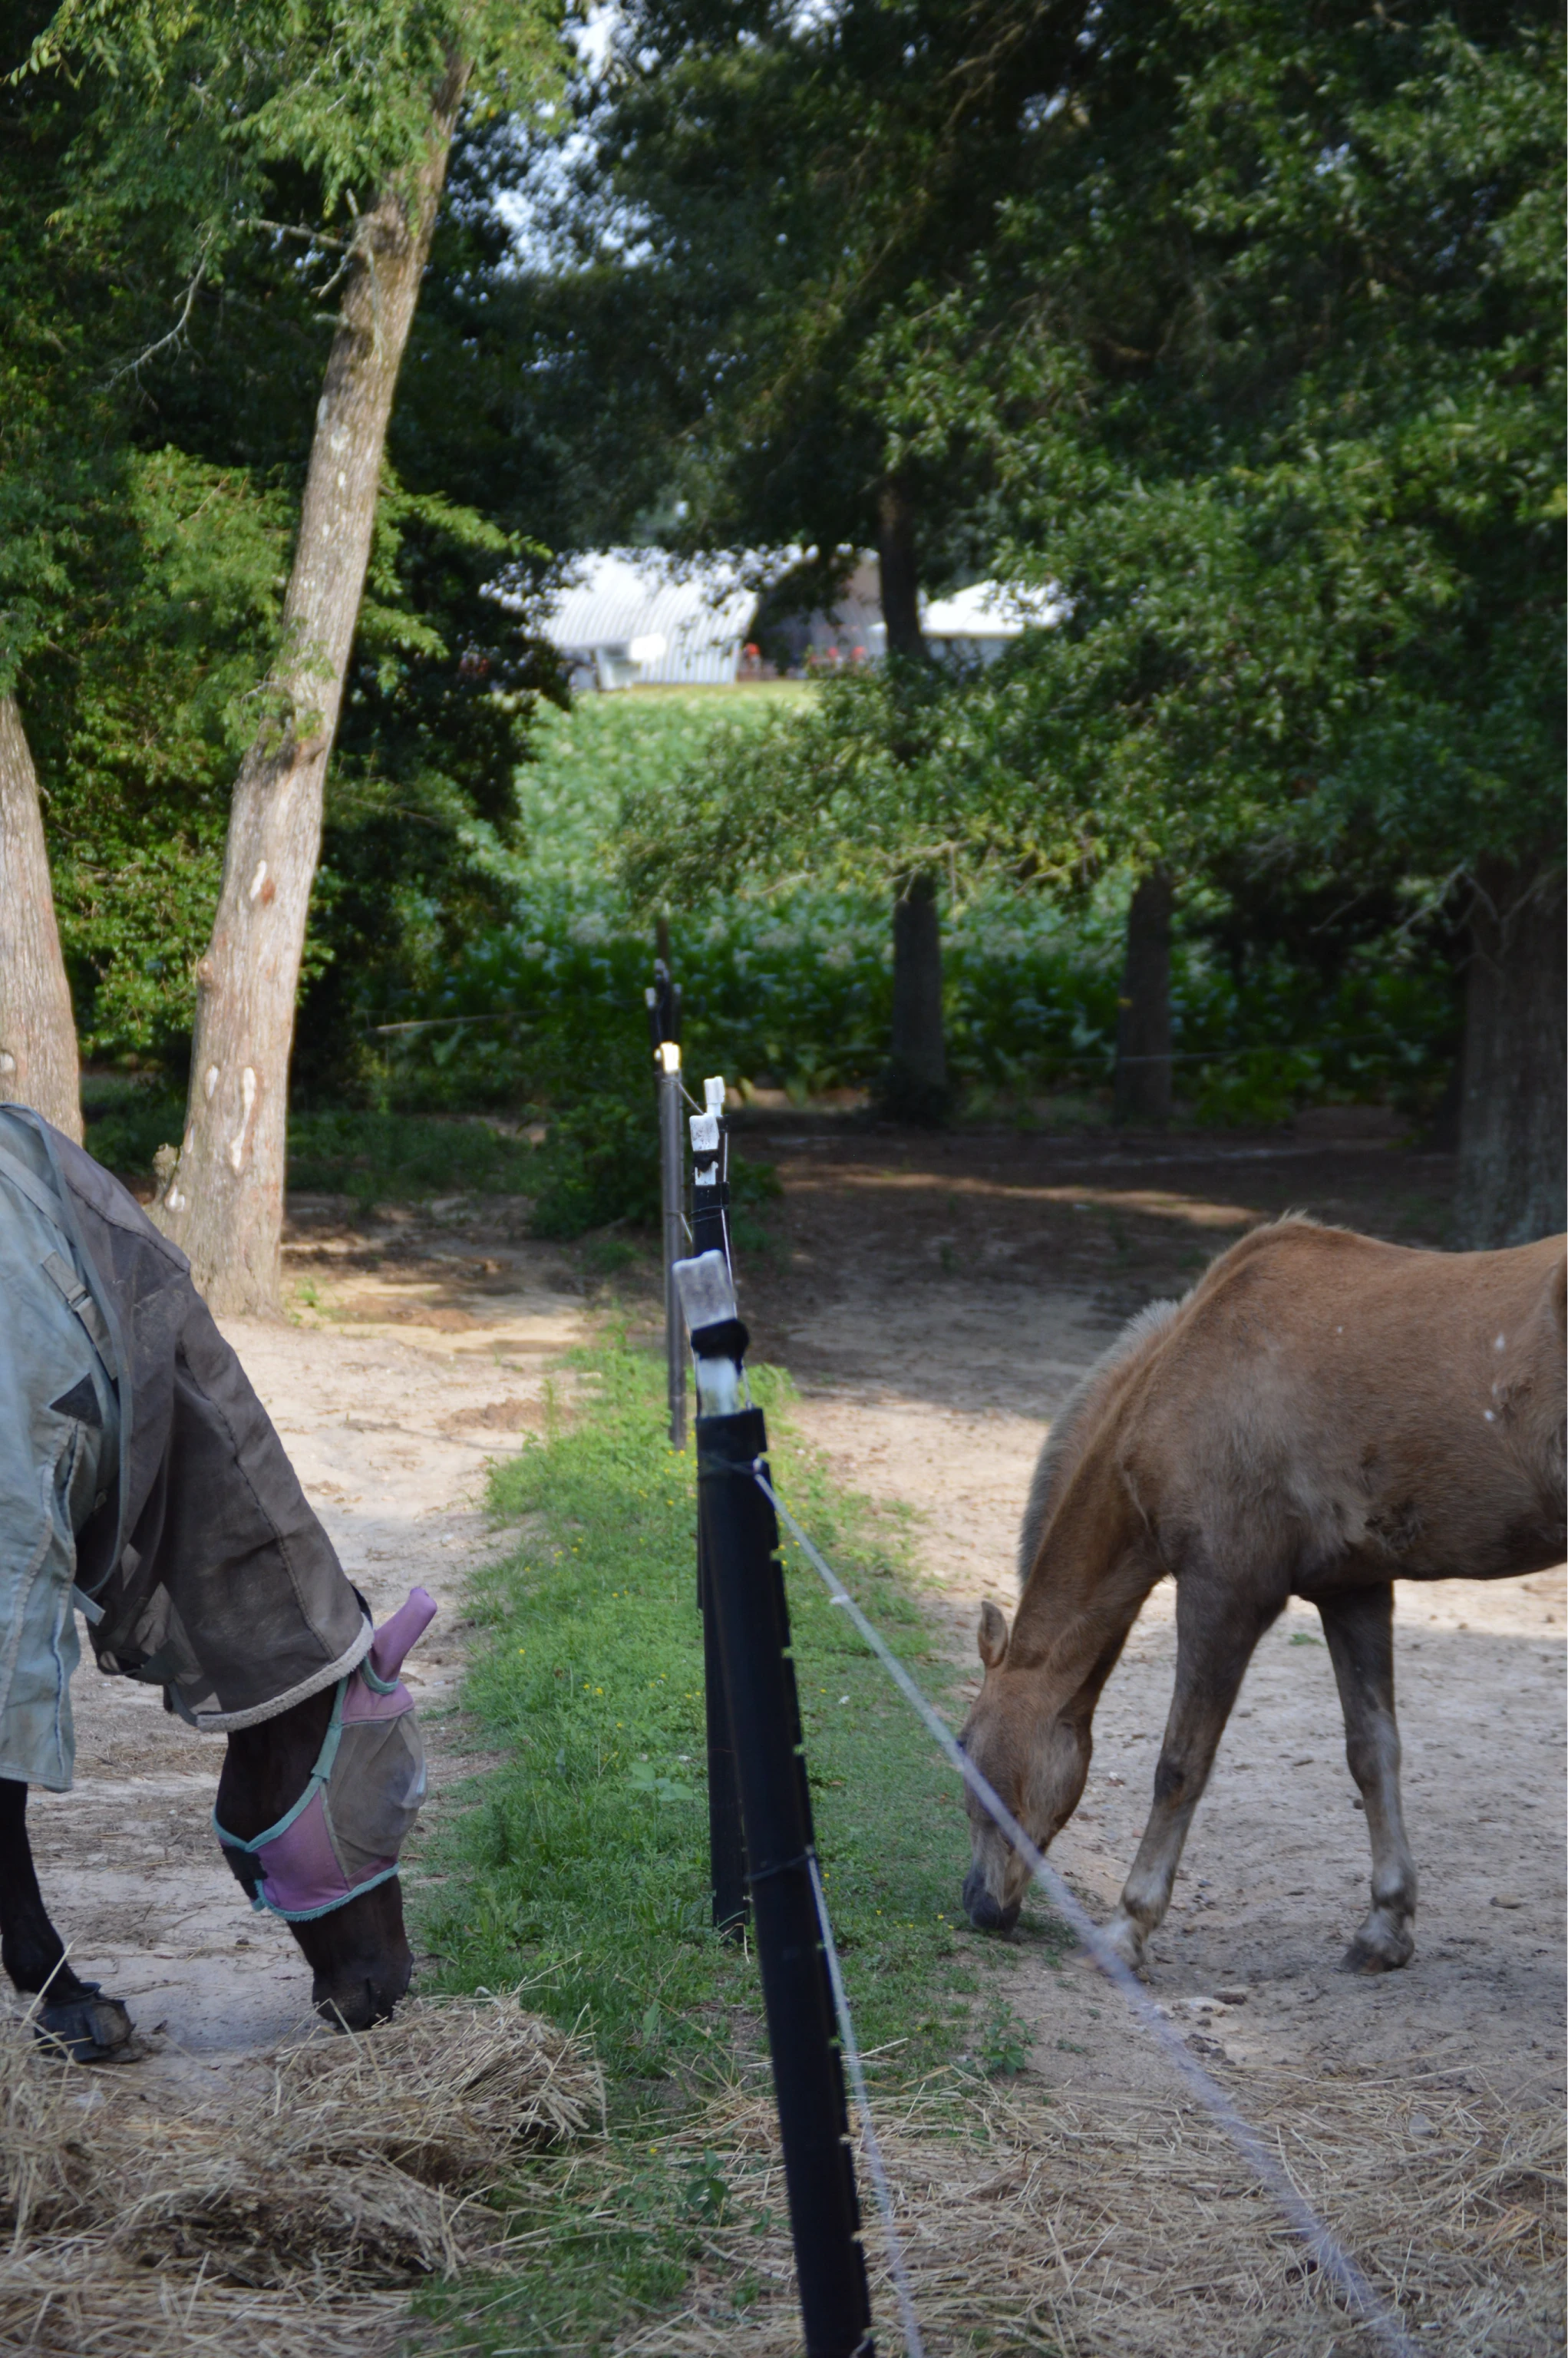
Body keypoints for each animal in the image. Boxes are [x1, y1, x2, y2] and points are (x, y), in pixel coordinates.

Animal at [958, 1215, 1568, 1974]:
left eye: (964, 1744)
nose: (978, 1906)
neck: (1186, 1370)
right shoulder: (1354, 1590)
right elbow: (1372, 1751)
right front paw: (1384, 1925)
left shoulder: (1223, 1593)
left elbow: (1180, 1764)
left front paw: (1128, 1928)